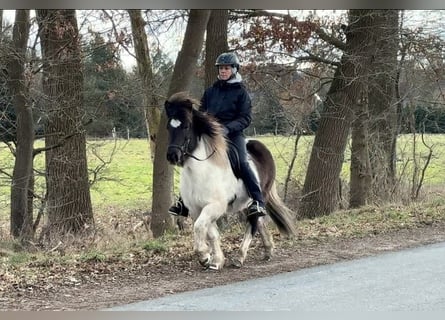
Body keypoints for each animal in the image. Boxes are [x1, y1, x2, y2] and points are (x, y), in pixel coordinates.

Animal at [163, 90, 294, 270]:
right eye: (169, 127)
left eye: (186, 126)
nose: (172, 156)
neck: (201, 172)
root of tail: (262, 147)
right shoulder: (197, 209)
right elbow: (211, 233)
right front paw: (215, 260)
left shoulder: (215, 206)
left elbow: (199, 227)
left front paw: (204, 255)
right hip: (246, 203)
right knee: (259, 220)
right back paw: (268, 250)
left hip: (261, 195)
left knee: (253, 223)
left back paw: (240, 257)